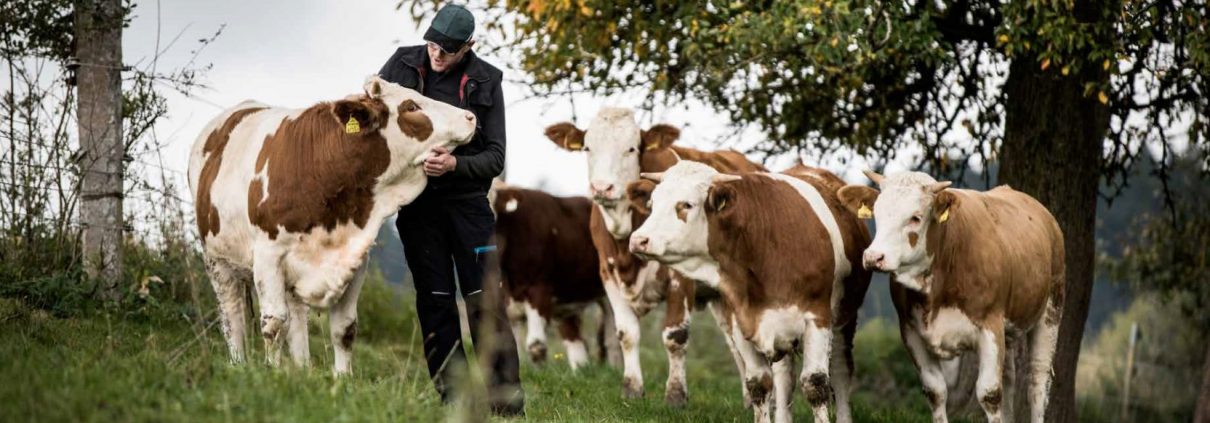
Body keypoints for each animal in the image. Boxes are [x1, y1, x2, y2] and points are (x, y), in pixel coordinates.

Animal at [188, 75, 476, 372]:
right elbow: (274, 324)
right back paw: (238, 364)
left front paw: (342, 378)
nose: (469, 117)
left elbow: (344, 328)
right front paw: (274, 374)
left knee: (297, 316)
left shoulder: (354, 258)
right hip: (216, 261)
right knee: (232, 317)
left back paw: (302, 369)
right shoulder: (268, 255)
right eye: (411, 106)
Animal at [549, 107, 764, 403]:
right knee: (735, 343)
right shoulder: (608, 273)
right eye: (587, 148)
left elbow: (675, 335)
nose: (602, 188)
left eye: (631, 148)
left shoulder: (679, 278)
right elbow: (626, 333)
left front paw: (675, 395)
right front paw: (632, 389)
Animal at [629, 161, 876, 423]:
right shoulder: (741, 320)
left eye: (686, 204)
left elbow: (815, 384)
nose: (638, 240)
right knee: (784, 377)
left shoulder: (817, 317)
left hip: (844, 319)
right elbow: (759, 384)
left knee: (840, 369)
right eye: (652, 204)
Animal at [837, 171, 1064, 423]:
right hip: (1010, 328)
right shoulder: (911, 332)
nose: (873, 257)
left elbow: (989, 393)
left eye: (915, 217)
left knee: (1037, 380)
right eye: (877, 213)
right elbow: (936, 391)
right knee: (1010, 379)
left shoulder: (990, 326)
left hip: (1051, 310)